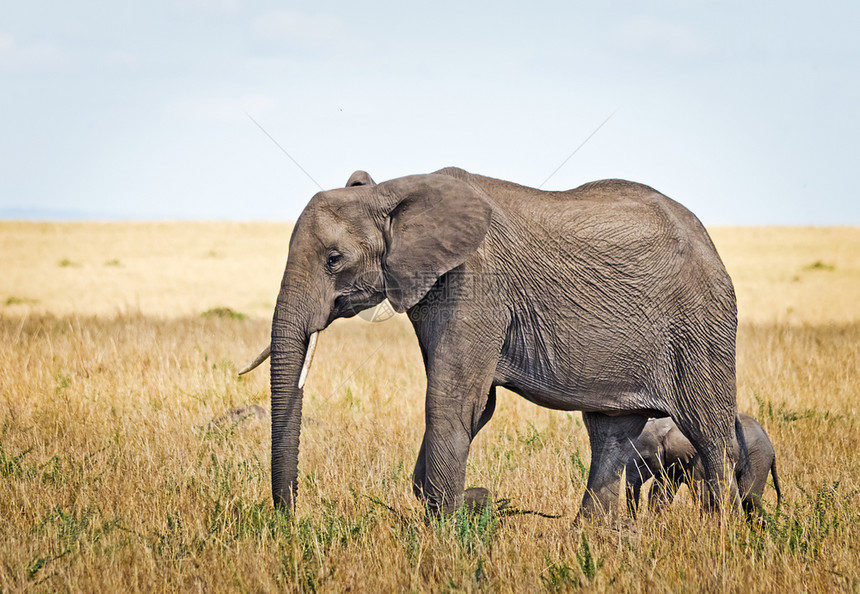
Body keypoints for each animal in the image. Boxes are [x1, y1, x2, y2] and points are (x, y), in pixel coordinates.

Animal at [240, 166, 740, 520]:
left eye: (333, 259)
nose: (289, 519)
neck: (393, 192)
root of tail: (708, 239)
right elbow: (476, 407)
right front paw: (465, 504)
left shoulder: (476, 283)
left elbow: (454, 400)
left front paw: (449, 529)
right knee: (610, 436)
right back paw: (588, 540)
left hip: (703, 324)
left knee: (710, 433)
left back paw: (720, 535)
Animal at [624, 410, 780, 516]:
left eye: (644, 458)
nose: (634, 520)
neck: (665, 425)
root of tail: (771, 446)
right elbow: (660, 492)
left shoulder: (698, 458)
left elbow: (702, 493)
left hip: (757, 456)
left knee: (749, 498)